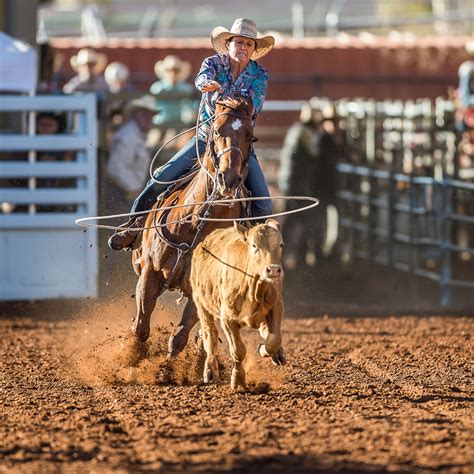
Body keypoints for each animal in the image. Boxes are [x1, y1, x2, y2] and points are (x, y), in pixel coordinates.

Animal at [128, 95, 256, 356]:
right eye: (216, 131)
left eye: (250, 136)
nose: (229, 178)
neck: (193, 223)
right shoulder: (149, 271)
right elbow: (141, 328)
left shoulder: (204, 288)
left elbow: (178, 338)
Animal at [189, 218, 286, 388]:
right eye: (254, 245)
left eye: (280, 244)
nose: (273, 270)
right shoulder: (227, 319)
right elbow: (238, 351)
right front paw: (238, 379)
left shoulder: (276, 306)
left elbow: (274, 340)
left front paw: (264, 349)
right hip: (201, 304)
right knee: (210, 336)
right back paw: (210, 370)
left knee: (266, 330)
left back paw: (278, 353)